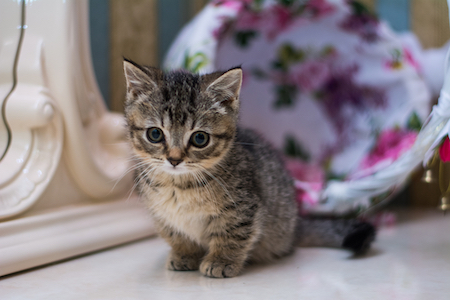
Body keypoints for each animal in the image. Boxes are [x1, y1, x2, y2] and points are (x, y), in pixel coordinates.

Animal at [124, 59, 376, 278]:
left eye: (199, 138)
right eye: (155, 134)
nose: (174, 159)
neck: (178, 186)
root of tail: (296, 226)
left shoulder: (243, 208)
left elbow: (232, 235)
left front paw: (221, 261)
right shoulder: (163, 215)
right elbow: (177, 236)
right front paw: (185, 255)